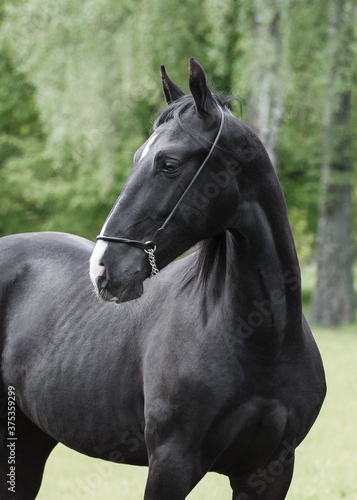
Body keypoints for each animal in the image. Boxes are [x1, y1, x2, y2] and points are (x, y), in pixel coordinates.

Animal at [0, 59, 322, 500]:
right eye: (138, 156)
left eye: (168, 163)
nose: (103, 268)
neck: (261, 339)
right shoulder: (172, 463)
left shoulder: (270, 471)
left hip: (30, 441)